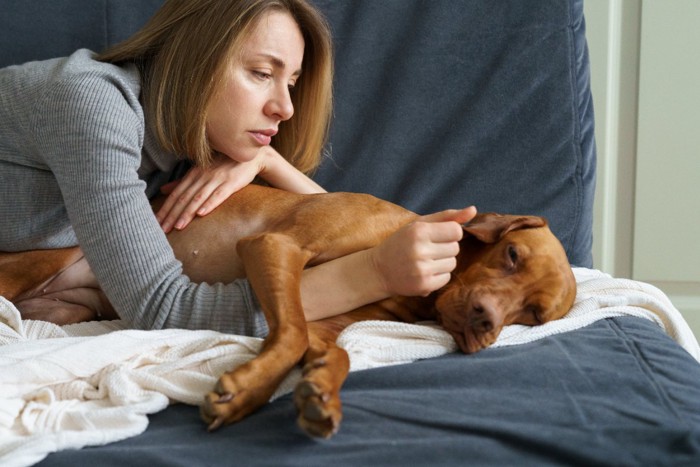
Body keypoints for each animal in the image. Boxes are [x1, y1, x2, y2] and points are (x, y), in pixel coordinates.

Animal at [0, 186, 576, 438]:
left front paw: (319, 392)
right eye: (511, 255)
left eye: (532, 315)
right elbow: (292, 333)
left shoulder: (328, 323)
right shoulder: (275, 247)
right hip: (37, 264)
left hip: (68, 307)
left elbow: (334, 353)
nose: (484, 320)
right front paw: (244, 391)